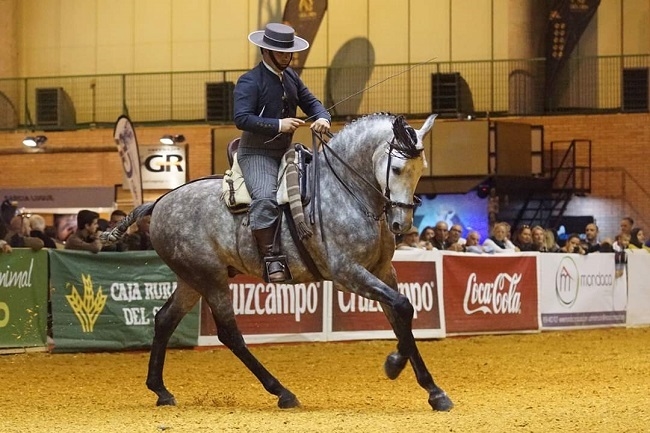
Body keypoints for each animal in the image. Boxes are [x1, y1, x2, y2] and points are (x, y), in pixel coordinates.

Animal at [105, 111, 450, 408]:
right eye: (397, 169)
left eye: (422, 168)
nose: (401, 225)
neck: (346, 192)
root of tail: (160, 202)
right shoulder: (347, 273)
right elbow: (403, 307)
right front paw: (394, 365)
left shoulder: (382, 271)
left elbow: (401, 314)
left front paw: (433, 390)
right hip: (209, 278)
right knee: (229, 334)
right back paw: (282, 392)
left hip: (191, 280)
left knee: (165, 320)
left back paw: (160, 390)